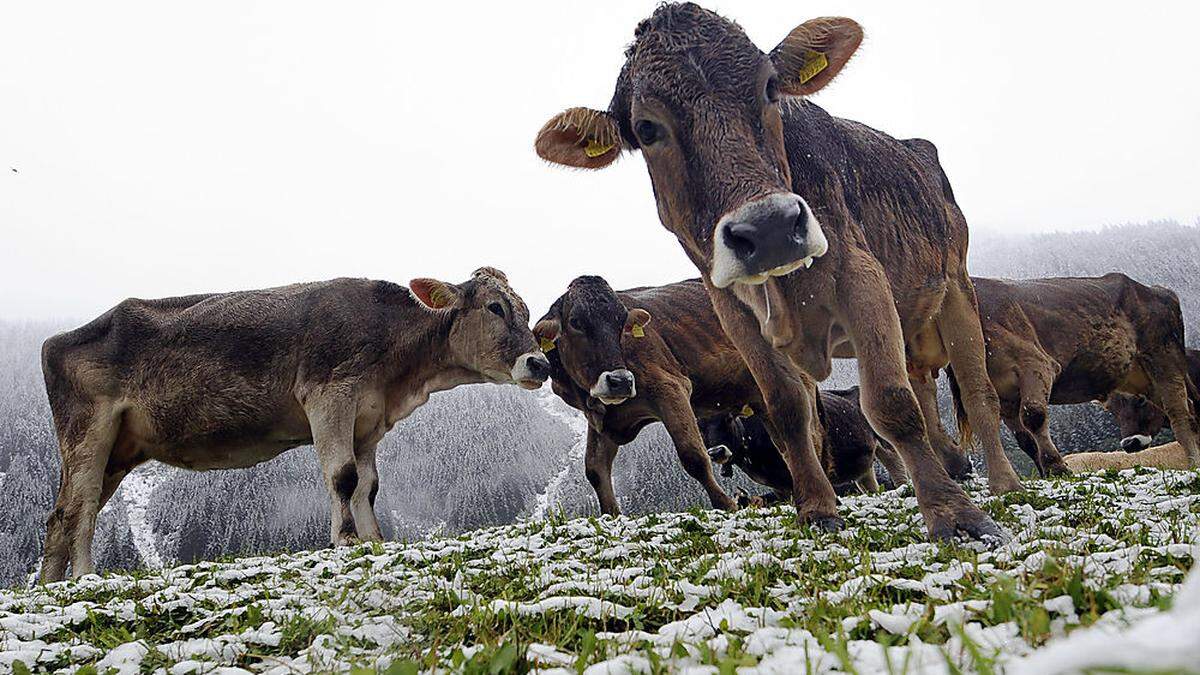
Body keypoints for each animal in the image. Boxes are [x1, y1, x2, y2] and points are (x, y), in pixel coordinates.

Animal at [700, 386, 902, 497]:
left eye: (728, 418)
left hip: (888, 448)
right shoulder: (777, 485)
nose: (716, 451)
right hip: (864, 466)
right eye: (699, 426)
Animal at [945, 273, 1200, 473]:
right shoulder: (1005, 395)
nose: (1129, 444)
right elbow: (1025, 441)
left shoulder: (1036, 364)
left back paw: (1193, 461)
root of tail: (1157, 290)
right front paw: (1045, 474)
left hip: (1163, 357)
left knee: (1179, 411)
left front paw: (1057, 467)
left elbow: (1033, 416)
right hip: (1139, 376)